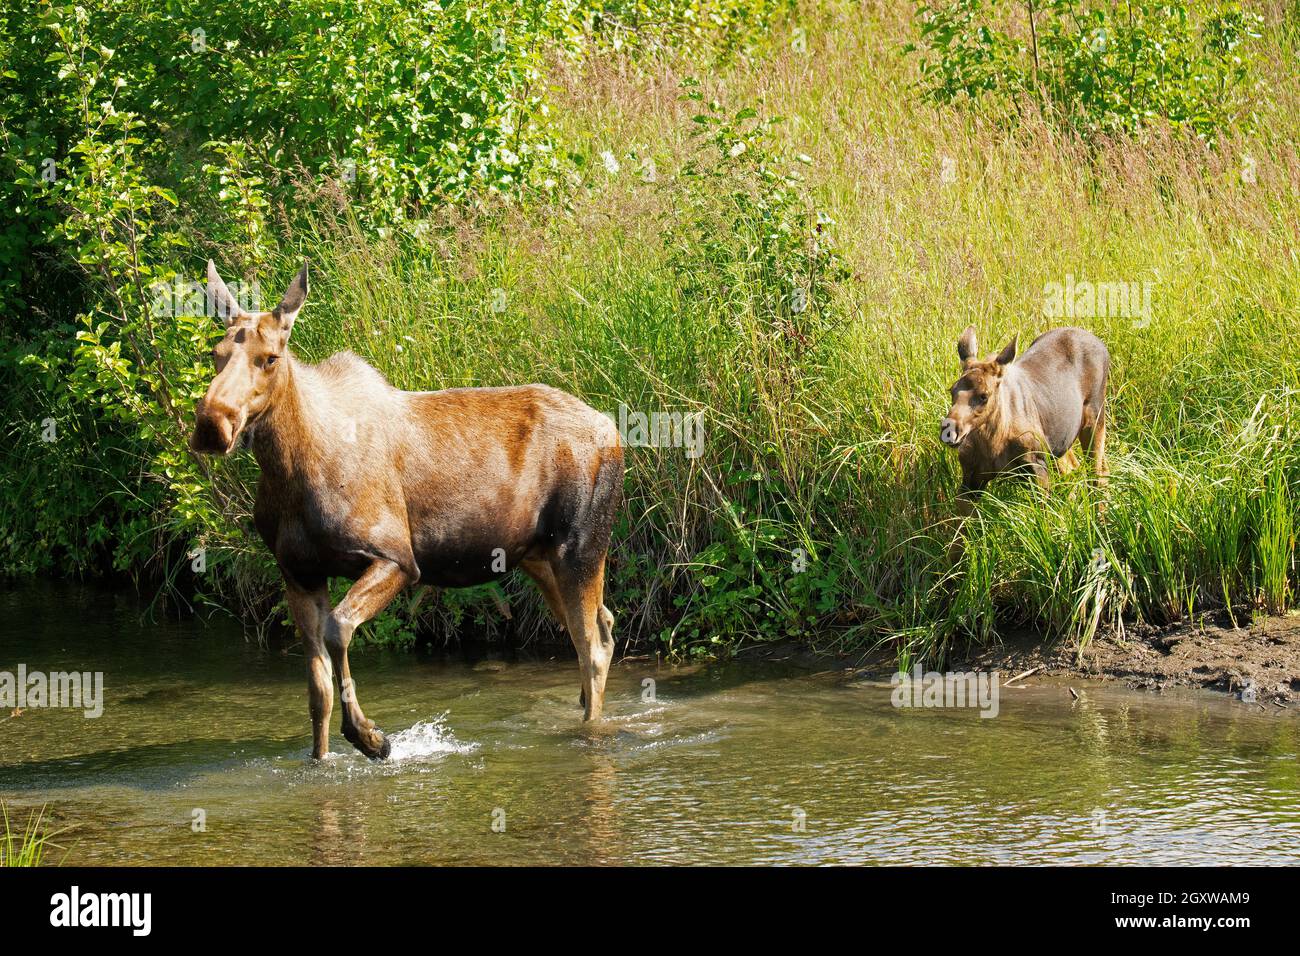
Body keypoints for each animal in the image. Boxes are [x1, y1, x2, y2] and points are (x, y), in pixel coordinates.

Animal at [187, 261, 624, 764]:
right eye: (216, 353)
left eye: (271, 358)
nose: (212, 424)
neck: (291, 470)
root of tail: (614, 431)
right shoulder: (298, 573)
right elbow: (316, 690)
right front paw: (323, 755)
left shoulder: (397, 559)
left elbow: (339, 629)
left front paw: (369, 736)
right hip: (539, 558)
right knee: (600, 627)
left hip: (580, 547)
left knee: (592, 645)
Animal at [941, 327, 1112, 496]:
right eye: (952, 390)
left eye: (984, 395)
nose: (949, 430)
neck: (993, 442)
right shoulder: (971, 475)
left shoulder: (1037, 466)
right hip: (1061, 438)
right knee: (1072, 468)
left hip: (1095, 414)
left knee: (1099, 473)